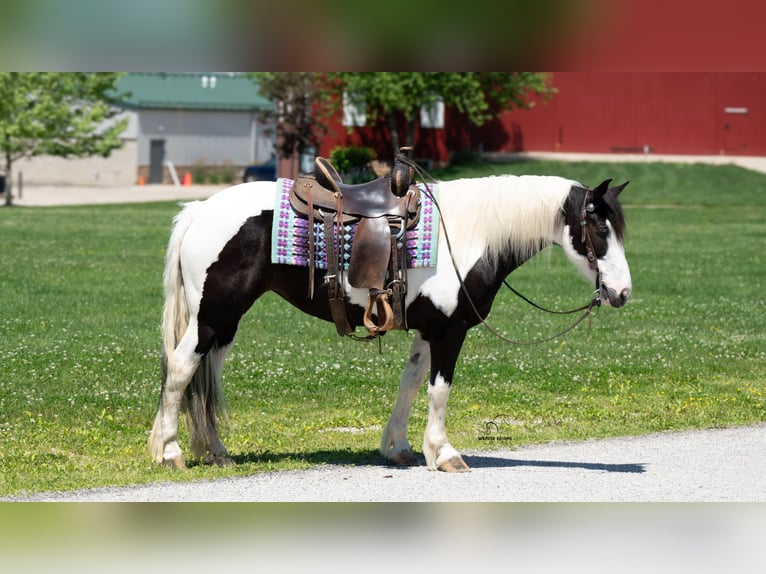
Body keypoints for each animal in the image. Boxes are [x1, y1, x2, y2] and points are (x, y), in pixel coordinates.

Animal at [148, 172, 632, 472]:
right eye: (600, 230)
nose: (623, 293)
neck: (468, 234)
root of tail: (198, 211)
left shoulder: (428, 329)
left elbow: (412, 381)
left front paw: (398, 448)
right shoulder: (450, 331)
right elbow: (440, 389)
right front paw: (444, 453)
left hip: (225, 321)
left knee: (206, 375)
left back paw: (215, 452)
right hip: (212, 314)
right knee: (182, 368)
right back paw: (169, 452)